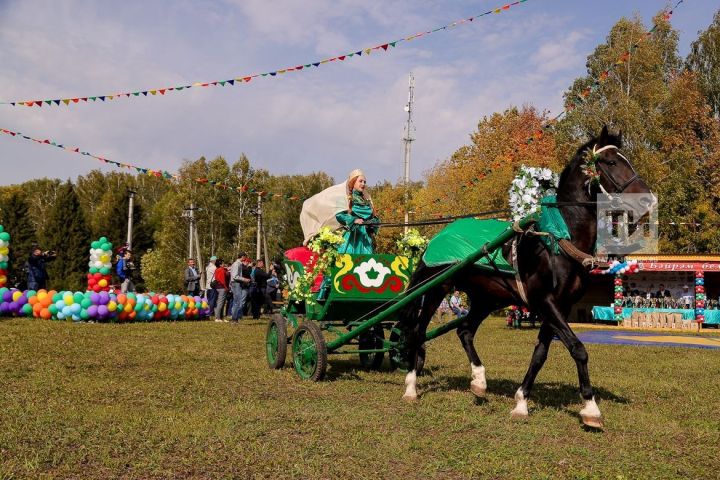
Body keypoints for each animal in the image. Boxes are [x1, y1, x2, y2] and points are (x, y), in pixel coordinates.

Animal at [396, 126, 656, 428]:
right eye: (612, 162)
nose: (648, 200)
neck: (558, 241)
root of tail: (436, 237)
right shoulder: (545, 301)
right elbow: (578, 348)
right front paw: (591, 408)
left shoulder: (560, 306)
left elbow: (540, 354)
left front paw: (521, 402)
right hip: (437, 289)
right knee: (417, 332)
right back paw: (411, 386)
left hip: (486, 298)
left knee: (464, 331)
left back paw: (479, 381)